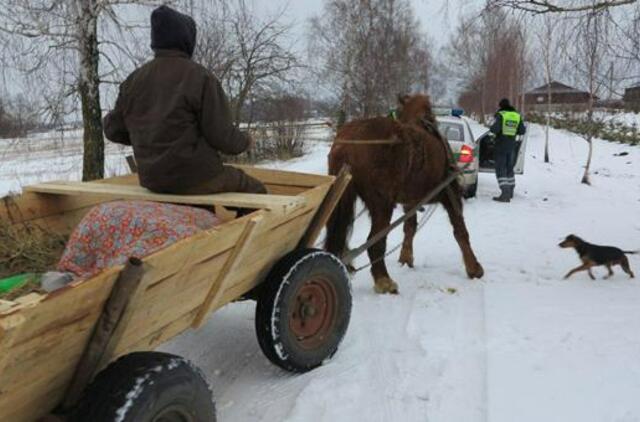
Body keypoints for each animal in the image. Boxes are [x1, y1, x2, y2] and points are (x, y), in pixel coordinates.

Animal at [328, 95, 482, 294]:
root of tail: (346, 143)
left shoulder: (411, 202)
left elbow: (410, 227)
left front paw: (406, 258)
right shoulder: (450, 193)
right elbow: (460, 230)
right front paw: (474, 268)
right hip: (382, 204)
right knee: (374, 242)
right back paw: (384, 281)